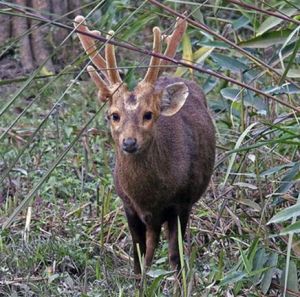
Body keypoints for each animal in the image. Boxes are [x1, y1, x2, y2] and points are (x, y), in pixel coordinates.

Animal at [74, 15, 216, 272]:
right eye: (114, 115)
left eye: (148, 114)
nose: (129, 142)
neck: (150, 198)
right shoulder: (128, 205)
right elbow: (138, 256)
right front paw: (139, 279)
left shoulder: (181, 202)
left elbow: (175, 257)